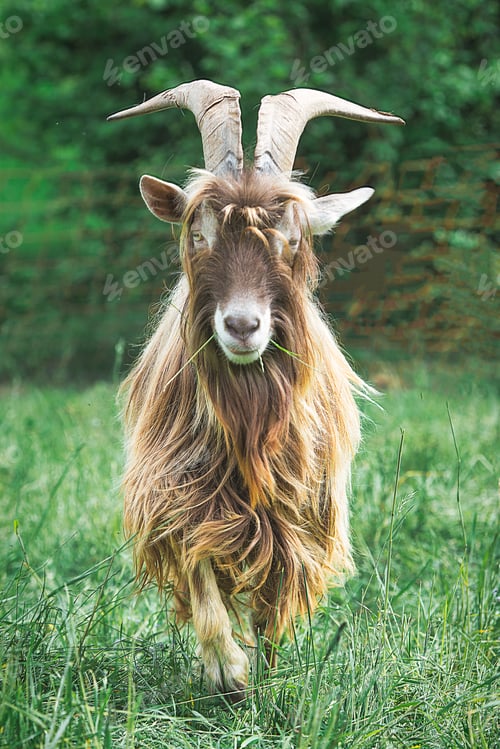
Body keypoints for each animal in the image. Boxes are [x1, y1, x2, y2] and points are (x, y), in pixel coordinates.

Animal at [108, 80, 404, 701]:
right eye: (199, 234)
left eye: (291, 239)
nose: (242, 326)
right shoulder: (178, 493)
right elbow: (202, 577)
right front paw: (227, 671)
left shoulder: (296, 515)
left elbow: (273, 602)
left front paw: (264, 680)